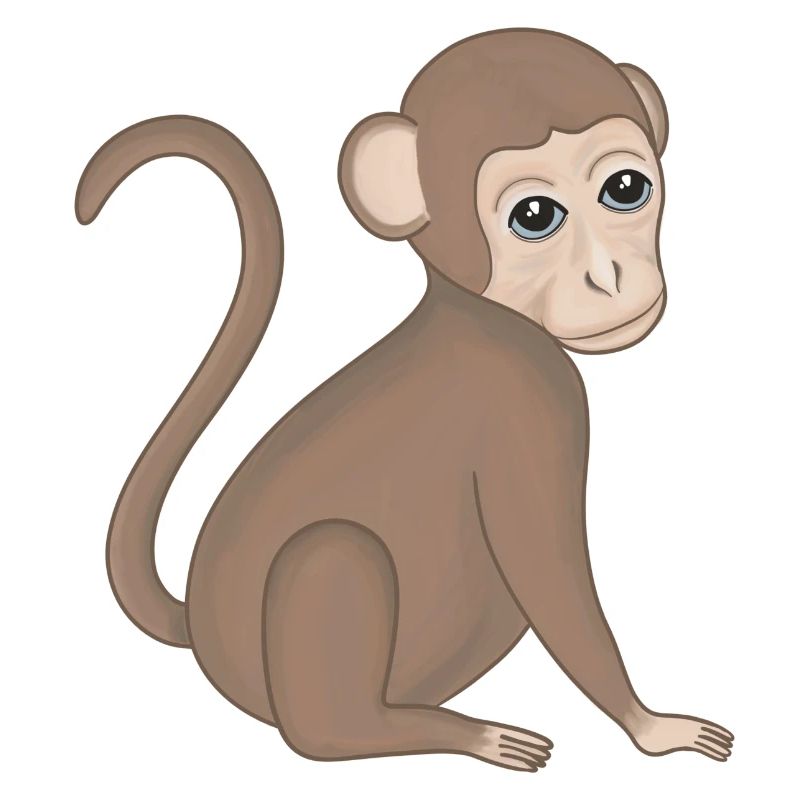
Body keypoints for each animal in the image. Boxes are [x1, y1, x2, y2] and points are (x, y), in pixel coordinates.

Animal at [76, 28, 734, 772]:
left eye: (626, 188)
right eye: (535, 216)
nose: (609, 277)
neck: (479, 315)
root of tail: (198, 624)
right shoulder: (528, 407)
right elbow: (549, 574)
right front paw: (652, 726)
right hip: (312, 621)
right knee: (330, 598)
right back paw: (457, 733)